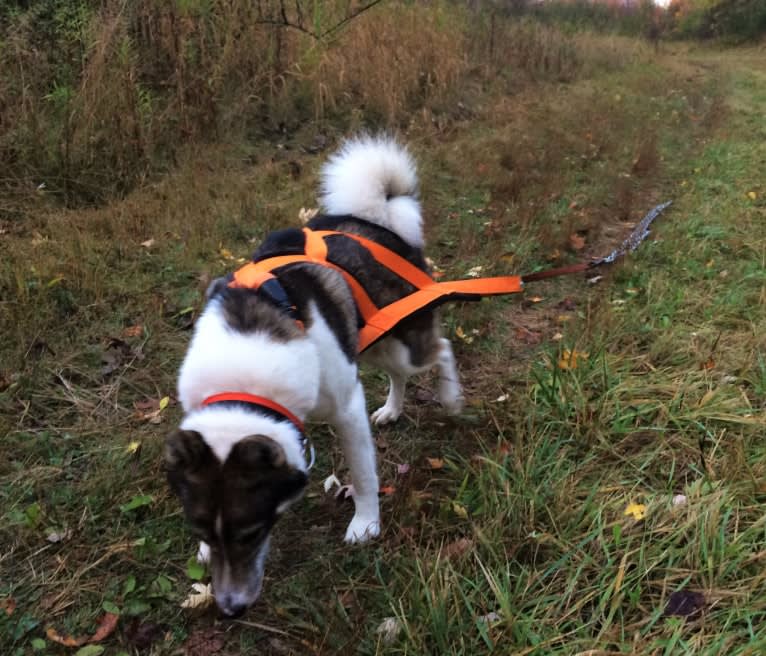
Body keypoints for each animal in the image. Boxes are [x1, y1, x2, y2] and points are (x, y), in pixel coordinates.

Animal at [165, 136, 464, 616]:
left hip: (403, 343)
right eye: (203, 529)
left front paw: (365, 524)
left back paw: (452, 397)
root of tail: (378, 221)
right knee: (399, 375)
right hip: (372, 343)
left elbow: (364, 474)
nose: (230, 608)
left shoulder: (346, 409)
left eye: (252, 532)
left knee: (441, 350)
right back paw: (392, 409)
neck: (244, 377)